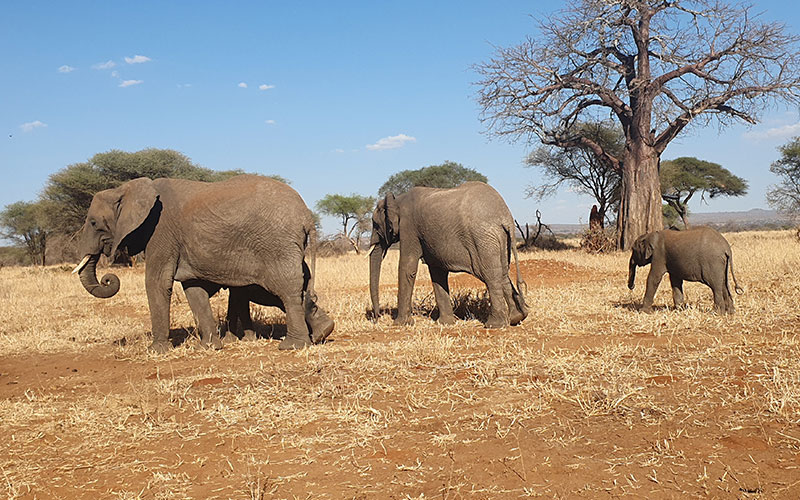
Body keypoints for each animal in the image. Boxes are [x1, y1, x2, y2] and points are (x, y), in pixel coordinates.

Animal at [69, 176, 332, 352]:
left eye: (93, 223)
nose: (108, 278)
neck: (126, 189)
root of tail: (306, 215)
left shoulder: (161, 231)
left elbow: (157, 282)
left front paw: (157, 350)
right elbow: (193, 288)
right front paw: (209, 346)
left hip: (275, 245)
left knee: (285, 290)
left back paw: (293, 345)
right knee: (294, 289)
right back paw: (323, 331)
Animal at [370, 182, 532, 326]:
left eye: (375, 225)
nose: (377, 318)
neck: (398, 199)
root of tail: (506, 217)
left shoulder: (409, 228)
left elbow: (407, 268)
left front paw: (400, 324)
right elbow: (437, 272)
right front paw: (446, 323)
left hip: (482, 239)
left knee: (490, 275)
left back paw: (494, 325)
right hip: (500, 239)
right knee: (503, 273)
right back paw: (516, 318)